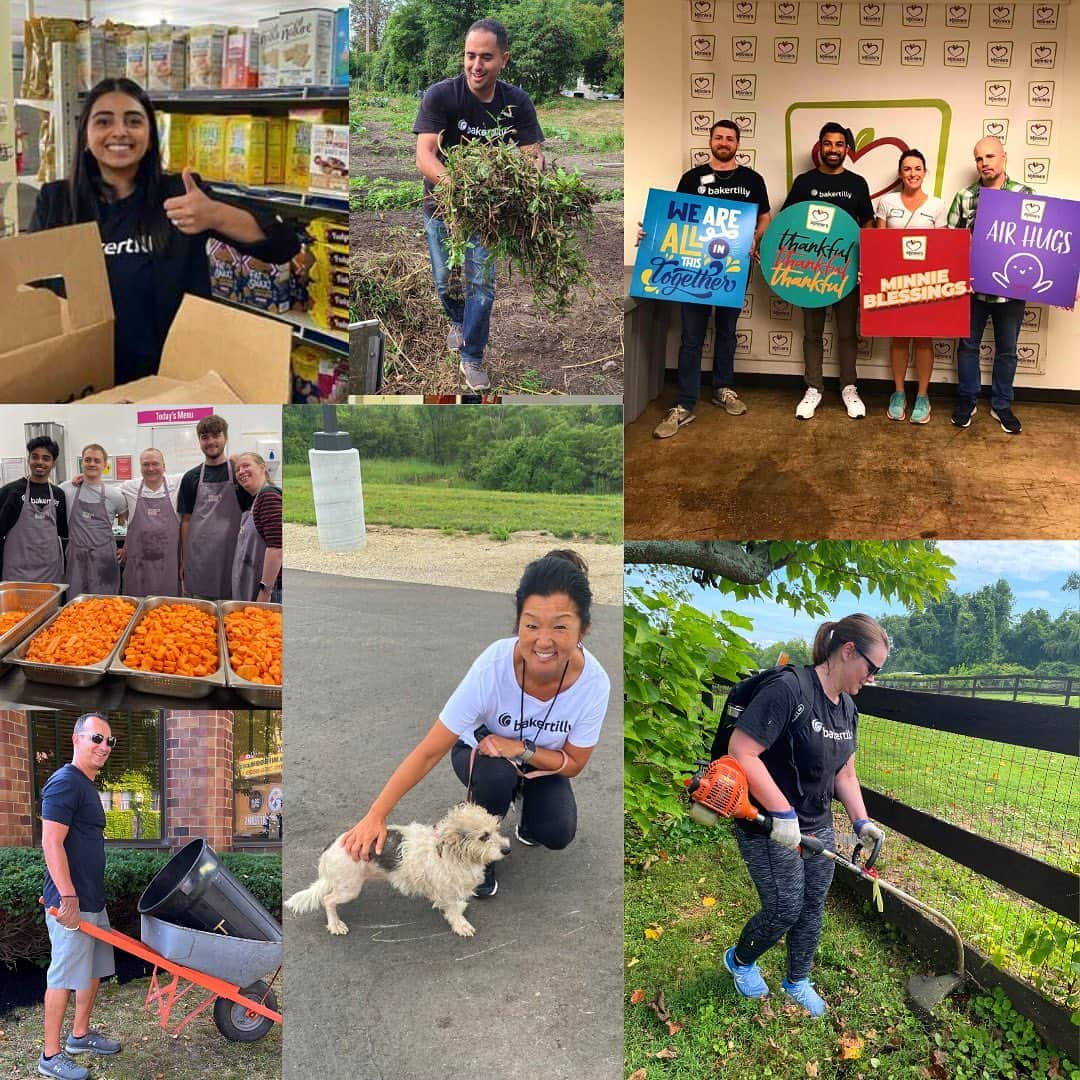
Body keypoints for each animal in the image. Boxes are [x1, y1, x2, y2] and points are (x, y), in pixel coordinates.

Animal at [282, 803, 509, 937]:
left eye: (497, 829)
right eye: (484, 836)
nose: (507, 849)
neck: (451, 852)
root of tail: (330, 849)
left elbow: (454, 905)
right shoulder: (445, 891)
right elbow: (452, 910)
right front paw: (460, 924)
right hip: (349, 888)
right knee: (327, 900)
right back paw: (335, 924)